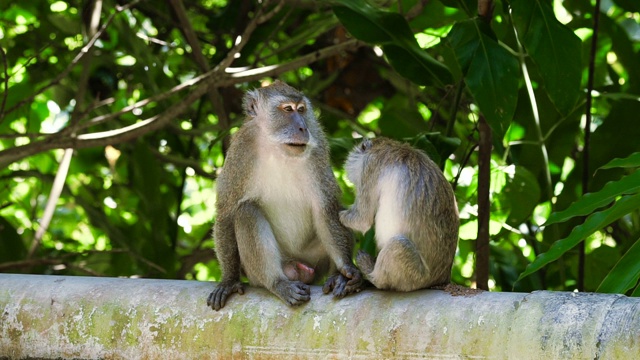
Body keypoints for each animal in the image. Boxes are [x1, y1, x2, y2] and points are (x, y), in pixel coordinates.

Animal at [208, 81, 362, 310]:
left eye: (301, 110)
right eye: (288, 109)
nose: (303, 127)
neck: (277, 149)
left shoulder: (318, 147)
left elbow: (326, 207)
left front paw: (347, 270)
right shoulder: (240, 152)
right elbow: (227, 211)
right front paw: (229, 280)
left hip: (311, 259)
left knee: (339, 212)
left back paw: (338, 278)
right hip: (258, 272)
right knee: (246, 211)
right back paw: (278, 283)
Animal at [340, 136, 460, 292]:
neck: (390, 146)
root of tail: (442, 279)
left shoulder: (370, 166)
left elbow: (362, 219)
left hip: (415, 276)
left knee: (398, 244)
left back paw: (372, 275)